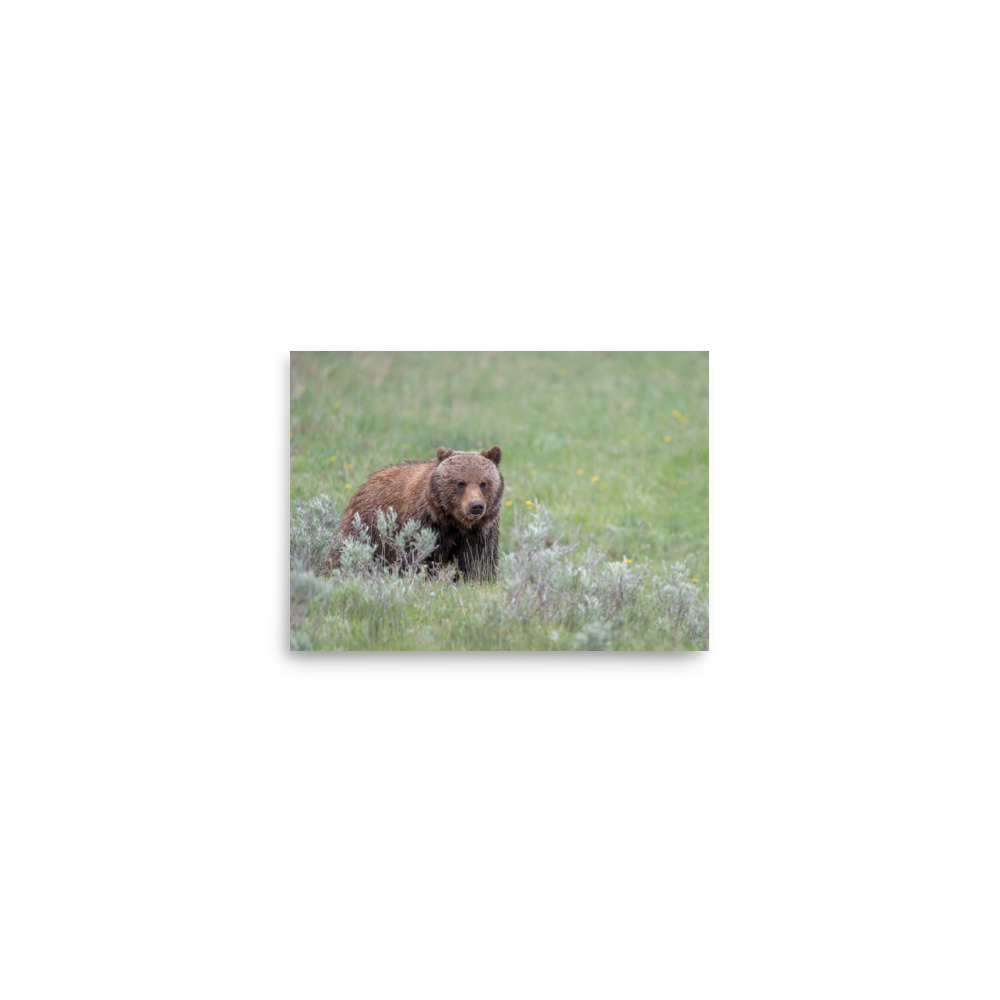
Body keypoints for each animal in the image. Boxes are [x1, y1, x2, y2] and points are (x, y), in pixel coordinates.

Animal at [324, 445, 504, 580]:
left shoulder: (480, 530)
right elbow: (417, 555)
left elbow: (477, 560)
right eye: (461, 483)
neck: (453, 520)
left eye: (483, 483)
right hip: (365, 524)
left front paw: (476, 579)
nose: (476, 506)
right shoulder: (425, 522)